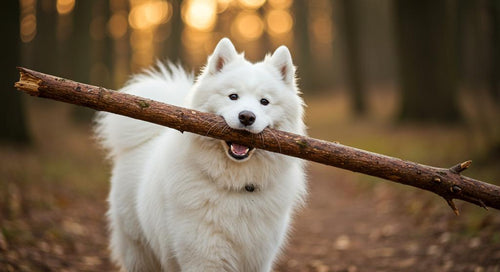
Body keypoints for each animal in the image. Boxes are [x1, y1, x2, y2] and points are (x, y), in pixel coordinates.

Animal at [93, 38, 304, 272]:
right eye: (233, 96)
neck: (236, 186)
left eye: (264, 102)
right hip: (139, 249)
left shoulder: (259, 258)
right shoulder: (203, 255)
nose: (247, 117)